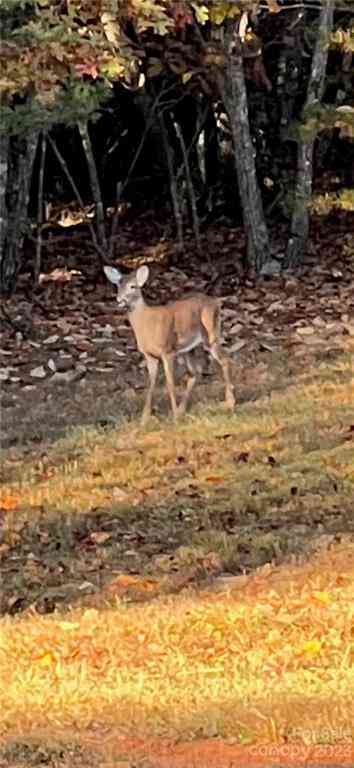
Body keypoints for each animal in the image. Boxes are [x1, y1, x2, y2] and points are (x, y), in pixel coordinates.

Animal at [103, 266, 235, 426]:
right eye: (118, 286)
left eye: (133, 286)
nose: (119, 300)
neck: (147, 323)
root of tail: (216, 302)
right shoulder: (149, 355)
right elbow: (151, 383)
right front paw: (144, 419)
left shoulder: (167, 350)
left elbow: (170, 383)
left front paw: (174, 418)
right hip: (188, 349)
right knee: (195, 372)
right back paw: (182, 410)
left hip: (211, 334)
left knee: (225, 359)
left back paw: (230, 403)